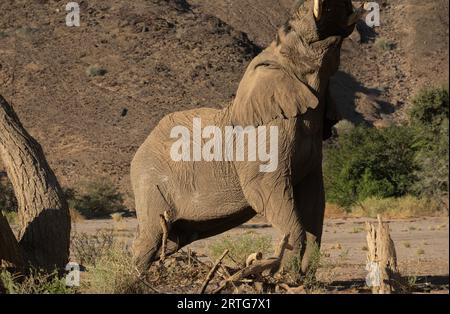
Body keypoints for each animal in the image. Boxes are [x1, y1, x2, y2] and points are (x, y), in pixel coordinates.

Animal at [130, 0, 358, 274]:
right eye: (290, 29)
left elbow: (314, 199)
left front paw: (302, 277)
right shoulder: (268, 134)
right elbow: (267, 190)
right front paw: (287, 275)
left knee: (172, 238)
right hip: (150, 183)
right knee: (150, 237)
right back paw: (136, 277)